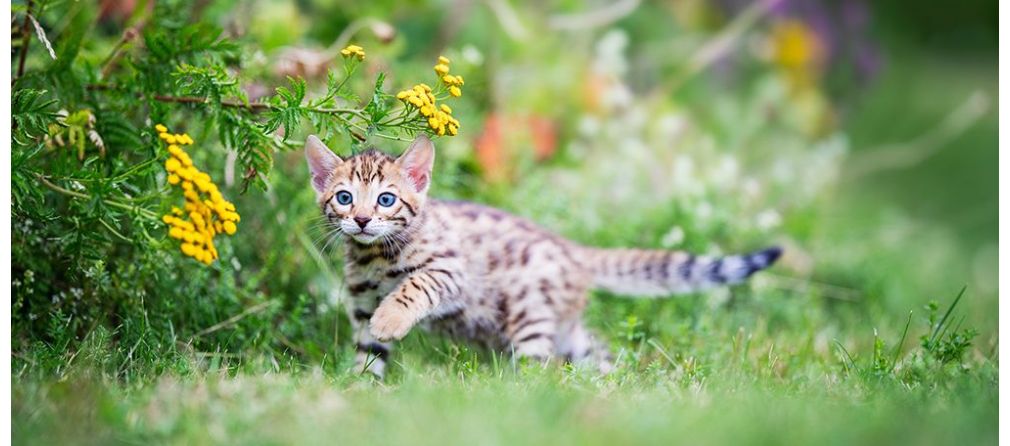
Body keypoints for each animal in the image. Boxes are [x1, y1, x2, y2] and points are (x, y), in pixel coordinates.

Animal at [303, 135, 783, 375]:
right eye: (344, 197)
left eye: (386, 200)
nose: (362, 219)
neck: (376, 258)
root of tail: (574, 250)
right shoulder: (361, 305)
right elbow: (368, 354)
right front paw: (359, 393)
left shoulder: (452, 268)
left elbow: (415, 285)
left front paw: (393, 317)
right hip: (565, 330)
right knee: (597, 355)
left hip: (531, 315)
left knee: (540, 370)